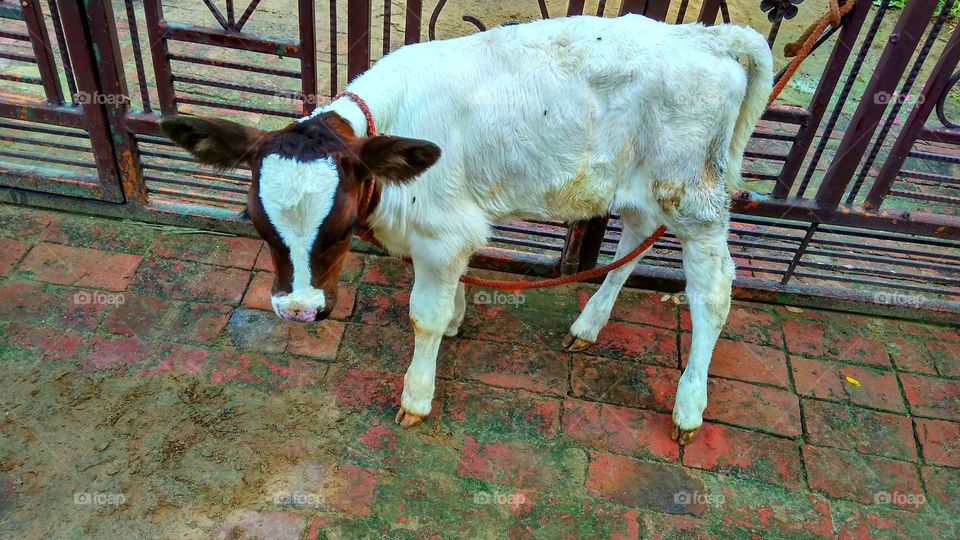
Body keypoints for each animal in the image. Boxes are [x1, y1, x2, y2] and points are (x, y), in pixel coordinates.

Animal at [161, 14, 773, 445]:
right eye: (256, 223)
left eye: (340, 227)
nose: (298, 311)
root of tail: (709, 37)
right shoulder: (450, 231)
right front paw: (457, 317)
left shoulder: (442, 231)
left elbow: (423, 317)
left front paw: (417, 395)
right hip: (644, 183)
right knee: (635, 239)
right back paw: (589, 324)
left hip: (693, 195)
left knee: (713, 291)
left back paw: (689, 405)